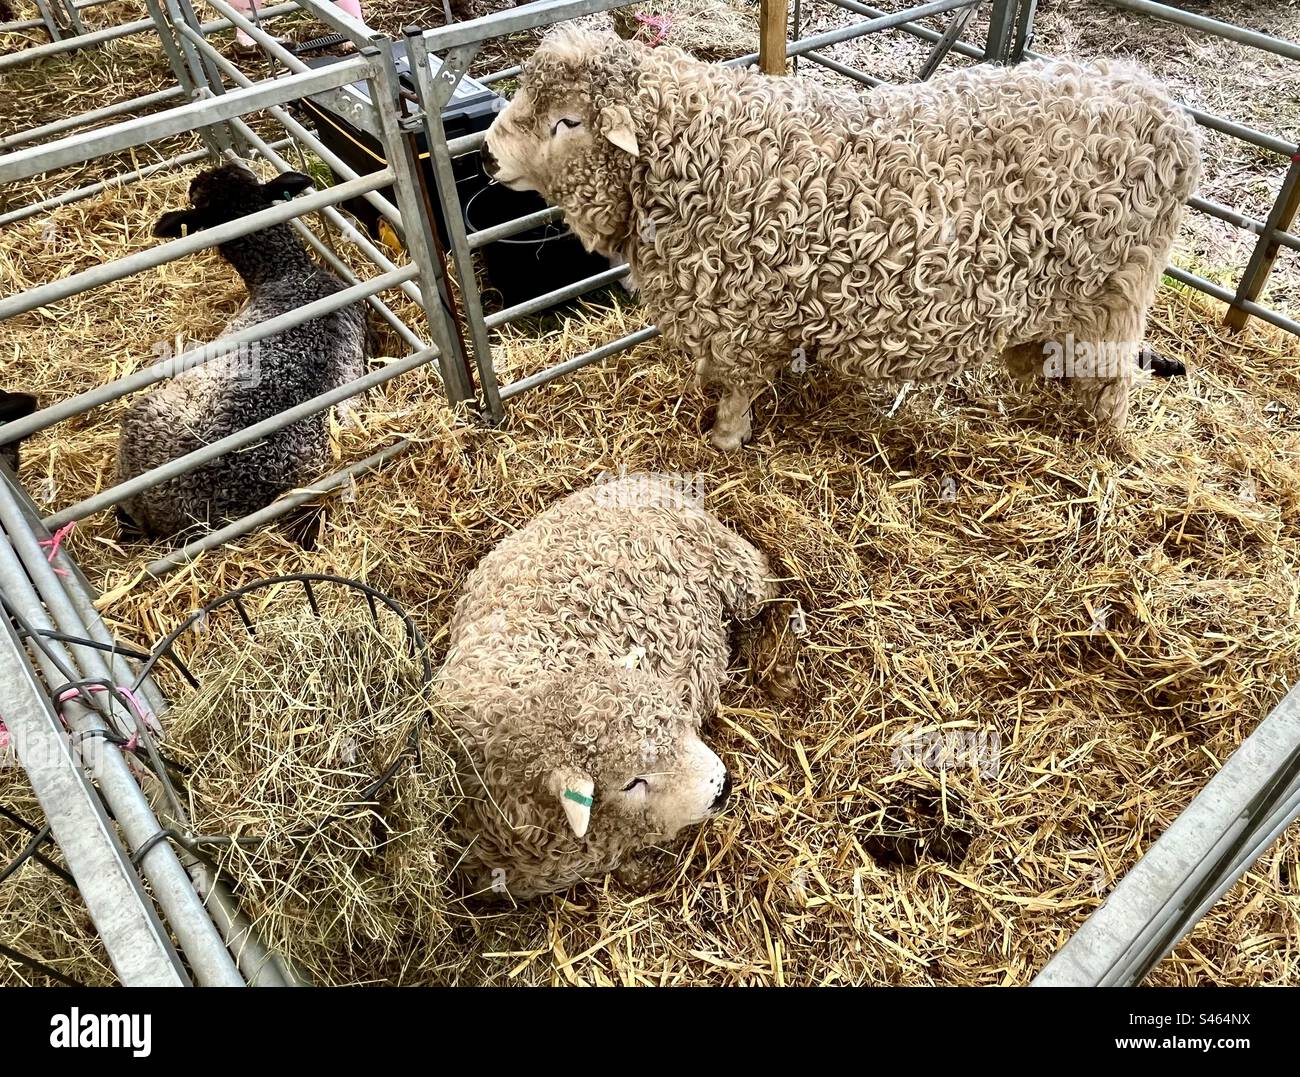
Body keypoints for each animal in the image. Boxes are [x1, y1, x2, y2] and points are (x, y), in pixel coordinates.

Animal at [481, 29, 1202, 450]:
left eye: (568, 121)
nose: (489, 151)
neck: (695, 152)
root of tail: (1167, 108)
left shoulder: (740, 320)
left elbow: (736, 390)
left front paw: (724, 441)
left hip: (1118, 294)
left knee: (1112, 386)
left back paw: (1101, 446)